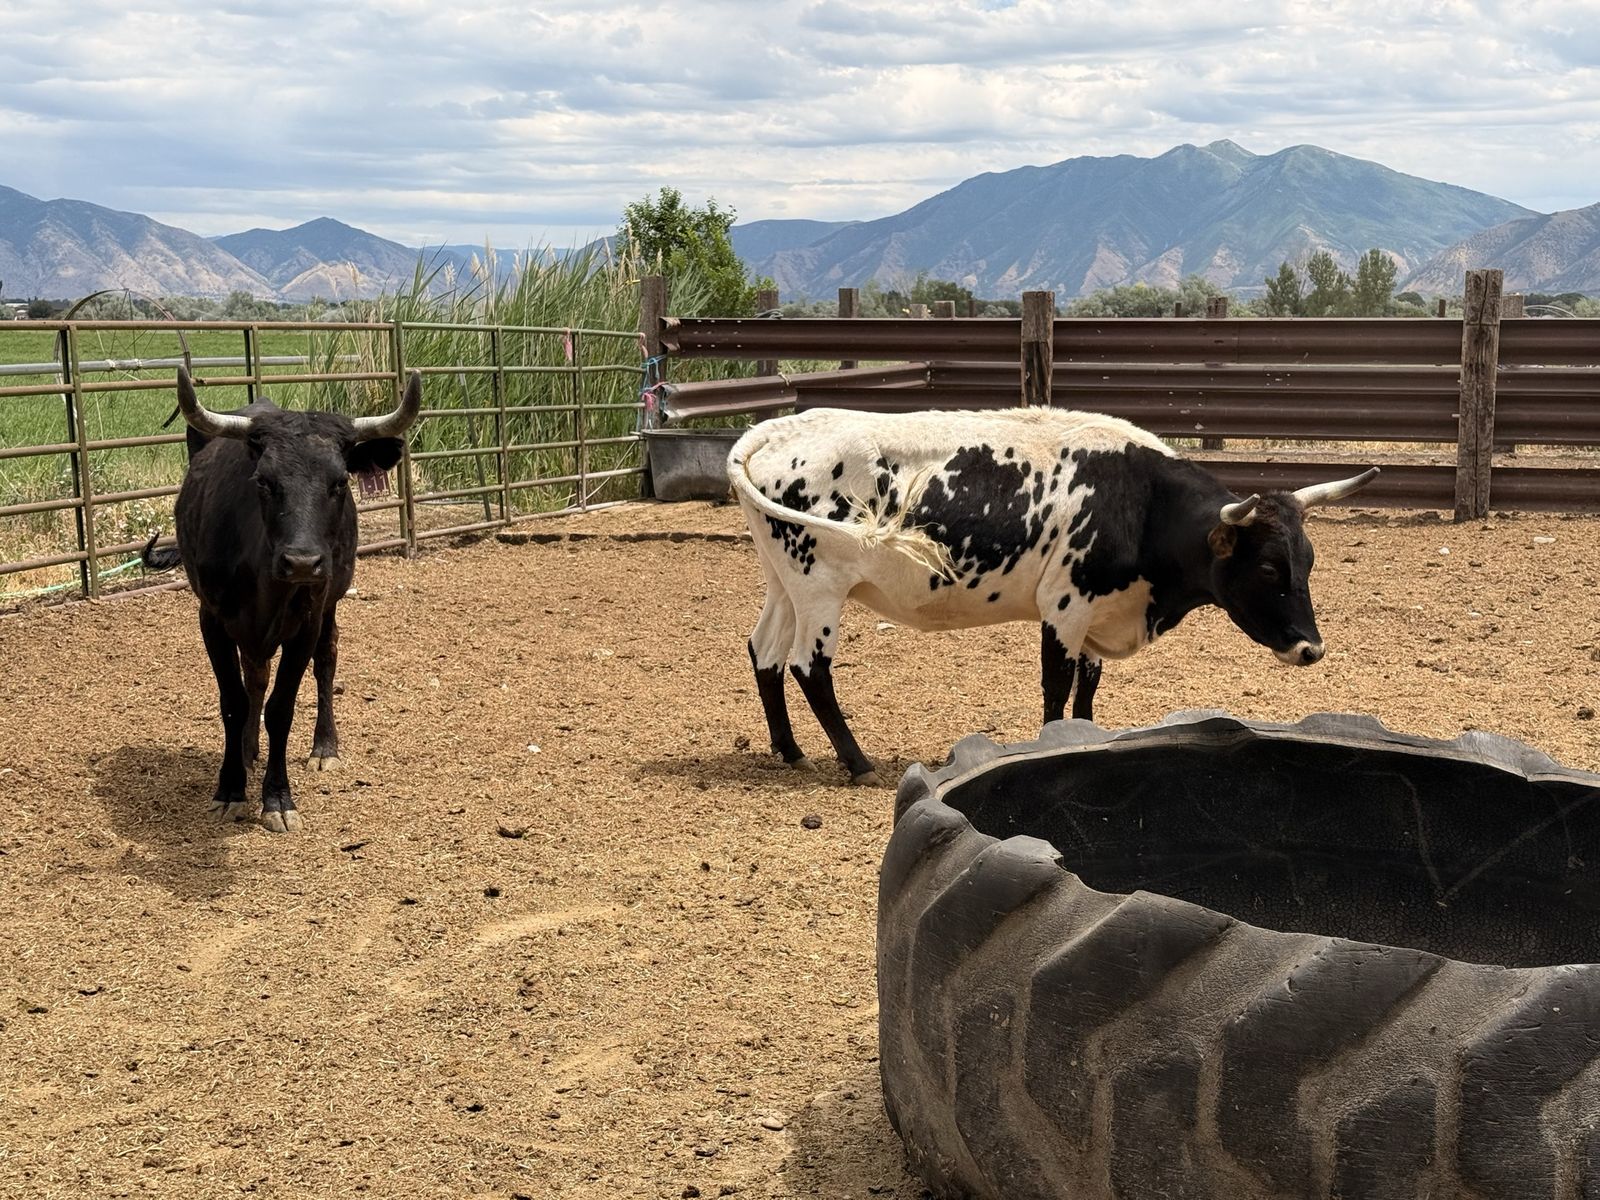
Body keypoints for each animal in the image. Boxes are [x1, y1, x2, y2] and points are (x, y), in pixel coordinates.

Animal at [142, 366, 421, 831]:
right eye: (264, 481)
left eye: (339, 482)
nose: (303, 562)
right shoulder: (212, 620)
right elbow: (235, 701)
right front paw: (231, 789)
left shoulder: (305, 623)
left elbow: (281, 707)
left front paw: (277, 799)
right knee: (254, 678)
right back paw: (247, 750)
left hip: (329, 605)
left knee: (326, 660)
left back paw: (324, 747)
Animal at [727, 406, 1377, 785]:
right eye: (1267, 568)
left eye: (1308, 561)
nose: (1311, 649)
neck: (1140, 501)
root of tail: (784, 427)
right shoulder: (1065, 608)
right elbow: (1057, 686)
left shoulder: (1096, 616)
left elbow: (1087, 689)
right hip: (819, 587)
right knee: (809, 667)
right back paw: (856, 762)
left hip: (783, 582)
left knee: (764, 653)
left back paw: (789, 749)